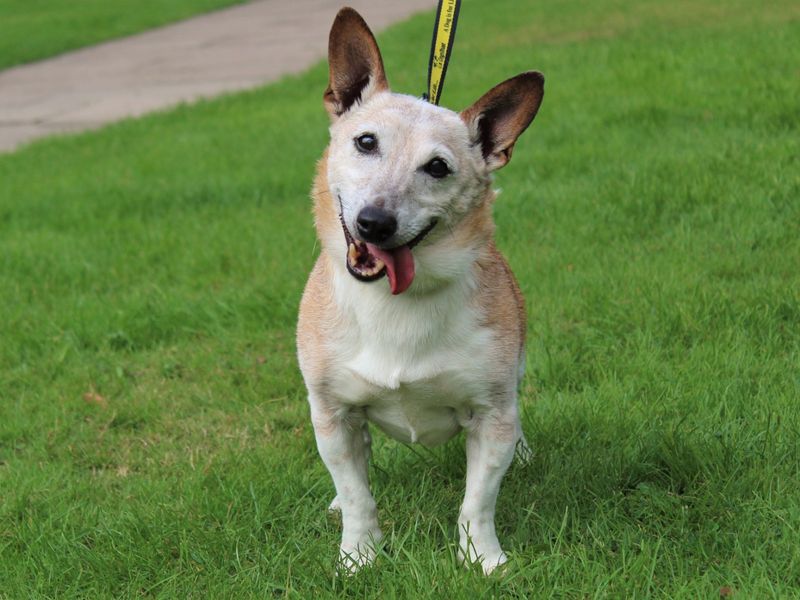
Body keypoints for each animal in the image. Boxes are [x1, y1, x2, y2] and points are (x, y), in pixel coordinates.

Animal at [296, 7, 548, 576]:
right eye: (365, 142)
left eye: (437, 167)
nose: (374, 222)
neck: (395, 303)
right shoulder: (332, 415)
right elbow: (359, 494)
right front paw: (359, 555)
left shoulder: (492, 414)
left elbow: (478, 500)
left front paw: (483, 558)